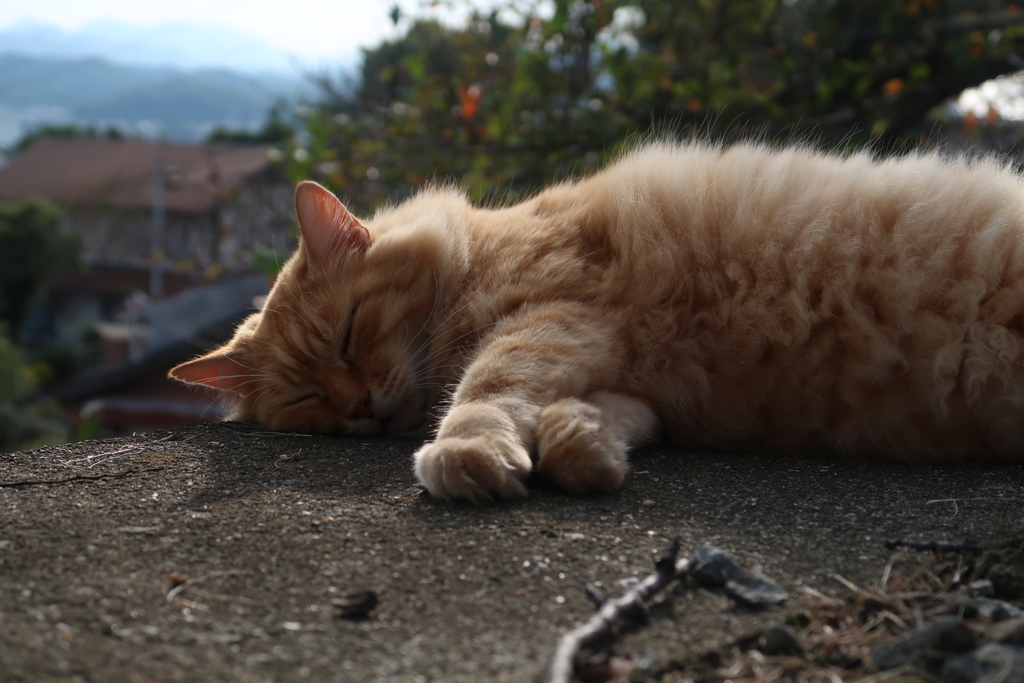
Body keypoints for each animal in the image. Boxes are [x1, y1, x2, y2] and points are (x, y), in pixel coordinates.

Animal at [172, 143, 1024, 501]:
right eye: (307, 399)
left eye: (349, 332)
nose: (354, 407)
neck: (478, 253)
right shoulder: (634, 377)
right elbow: (589, 415)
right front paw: (581, 450)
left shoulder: (558, 314)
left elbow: (486, 387)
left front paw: (467, 452)